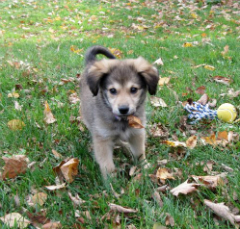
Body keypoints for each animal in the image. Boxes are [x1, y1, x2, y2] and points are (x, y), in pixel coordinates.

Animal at [80, 44, 159, 177]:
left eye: (133, 89)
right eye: (112, 90)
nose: (123, 109)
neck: (123, 120)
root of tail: (92, 62)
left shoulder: (136, 133)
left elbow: (139, 153)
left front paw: (145, 167)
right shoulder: (102, 138)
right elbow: (107, 164)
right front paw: (111, 179)